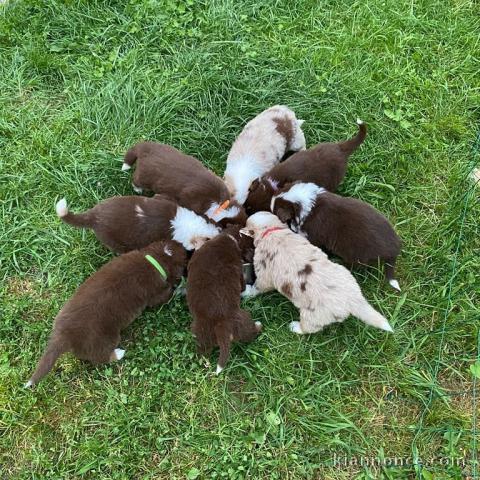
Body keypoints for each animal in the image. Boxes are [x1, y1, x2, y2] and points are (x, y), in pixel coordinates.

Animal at [25, 240, 188, 386]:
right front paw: (180, 289)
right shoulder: (156, 293)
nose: (188, 250)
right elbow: (167, 294)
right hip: (105, 339)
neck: (154, 259)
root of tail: (64, 335)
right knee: (100, 358)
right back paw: (118, 354)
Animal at [188, 225, 262, 376]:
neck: (229, 237)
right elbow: (242, 284)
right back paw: (258, 325)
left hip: (200, 332)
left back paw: (205, 362)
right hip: (244, 320)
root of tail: (222, 325)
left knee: (203, 351)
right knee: (251, 332)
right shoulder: (239, 271)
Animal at [240, 212, 394, 336]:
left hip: (313, 315)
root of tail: (353, 299)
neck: (272, 231)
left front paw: (246, 292)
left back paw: (295, 327)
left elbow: (257, 287)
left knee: (309, 328)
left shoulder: (264, 274)